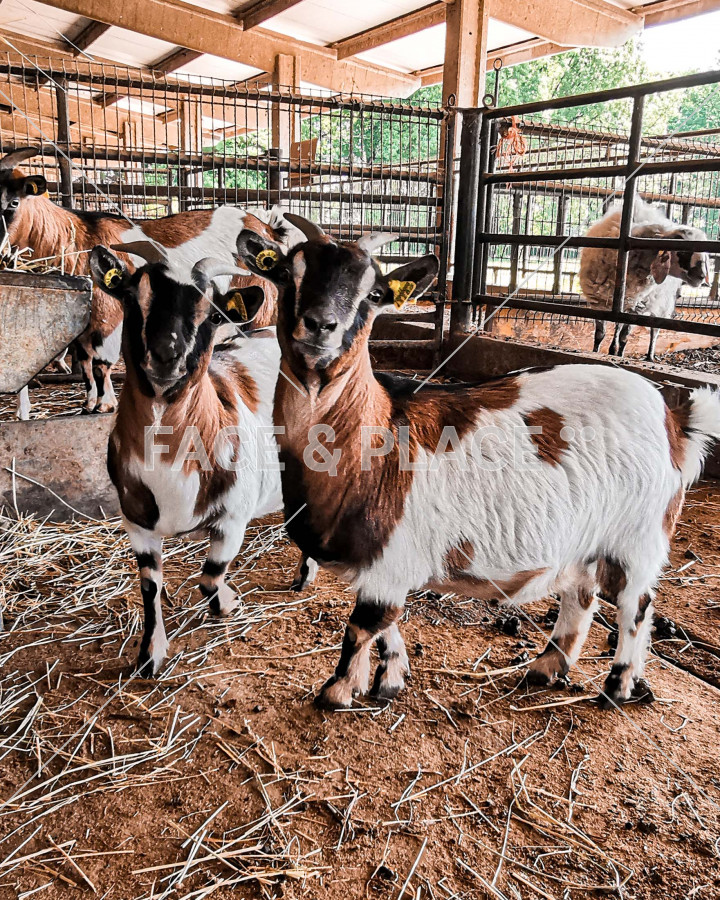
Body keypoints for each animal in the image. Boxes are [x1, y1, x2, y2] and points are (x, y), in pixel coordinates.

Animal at [0, 147, 297, 415]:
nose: (2, 252)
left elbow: (100, 364)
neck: (76, 239)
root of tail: (268, 228)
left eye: (13, 202)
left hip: (261, 308)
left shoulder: (109, 317)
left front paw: (106, 404)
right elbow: (84, 365)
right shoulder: (83, 328)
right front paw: (90, 402)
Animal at [88, 240, 316, 675]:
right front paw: (150, 655)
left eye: (213, 314)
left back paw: (305, 574)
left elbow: (210, 576)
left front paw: (228, 603)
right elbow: (150, 586)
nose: (167, 354)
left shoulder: (232, 519)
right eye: (131, 298)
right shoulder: (137, 524)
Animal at [580, 197, 711, 361]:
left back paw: (649, 356)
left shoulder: (637, 308)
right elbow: (600, 334)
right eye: (682, 250)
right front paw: (595, 351)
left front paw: (619, 354)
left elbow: (624, 337)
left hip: (661, 303)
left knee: (654, 329)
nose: (701, 277)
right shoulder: (597, 302)